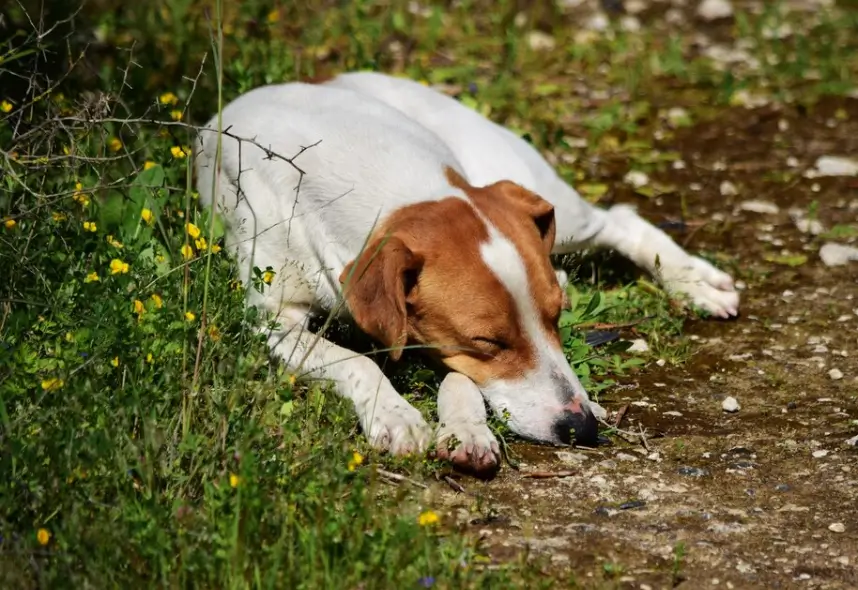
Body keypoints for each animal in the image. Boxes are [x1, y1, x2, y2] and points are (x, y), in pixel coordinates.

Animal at [194, 71, 736, 476]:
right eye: (489, 342)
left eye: (557, 319)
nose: (581, 429)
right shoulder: (272, 320)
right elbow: (355, 361)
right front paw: (395, 415)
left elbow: (461, 381)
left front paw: (466, 428)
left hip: (551, 206)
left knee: (620, 218)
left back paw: (696, 281)